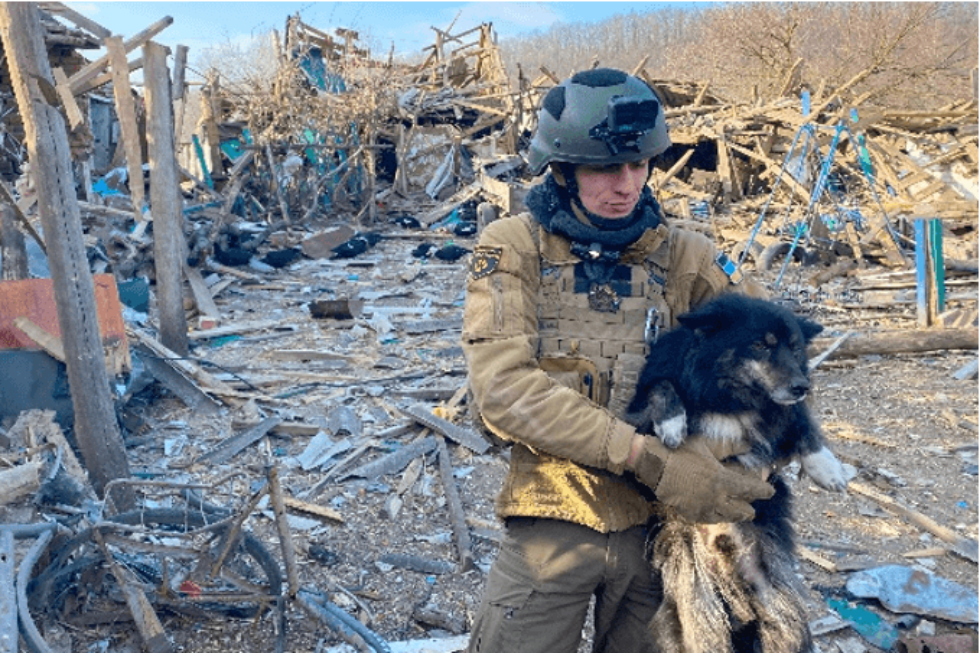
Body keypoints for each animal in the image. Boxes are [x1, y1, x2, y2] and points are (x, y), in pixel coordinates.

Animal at [632, 294, 848, 652]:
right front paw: (673, 424)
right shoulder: (639, 411)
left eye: (795, 348)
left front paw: (827, 468)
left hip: (778, 601)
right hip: (697, 605)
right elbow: (661, 386)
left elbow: (802, 421)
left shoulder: (781, 417)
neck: (733, 398)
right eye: (761, 345)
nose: (802, 386)